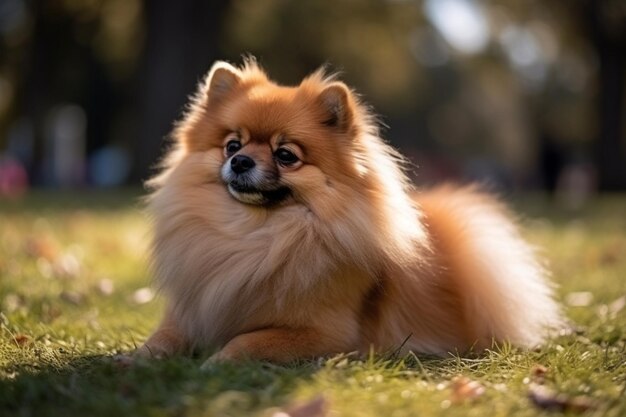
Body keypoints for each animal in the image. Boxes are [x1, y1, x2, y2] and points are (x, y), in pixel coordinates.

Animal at [139, 59, 564, 364]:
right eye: (232, 145)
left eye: (285, 155)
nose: (240, 161)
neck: (254, 236)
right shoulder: (190, 308)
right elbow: (164, 336)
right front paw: (136, 358)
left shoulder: (327, 334)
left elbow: (249, 339)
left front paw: (217, 360)